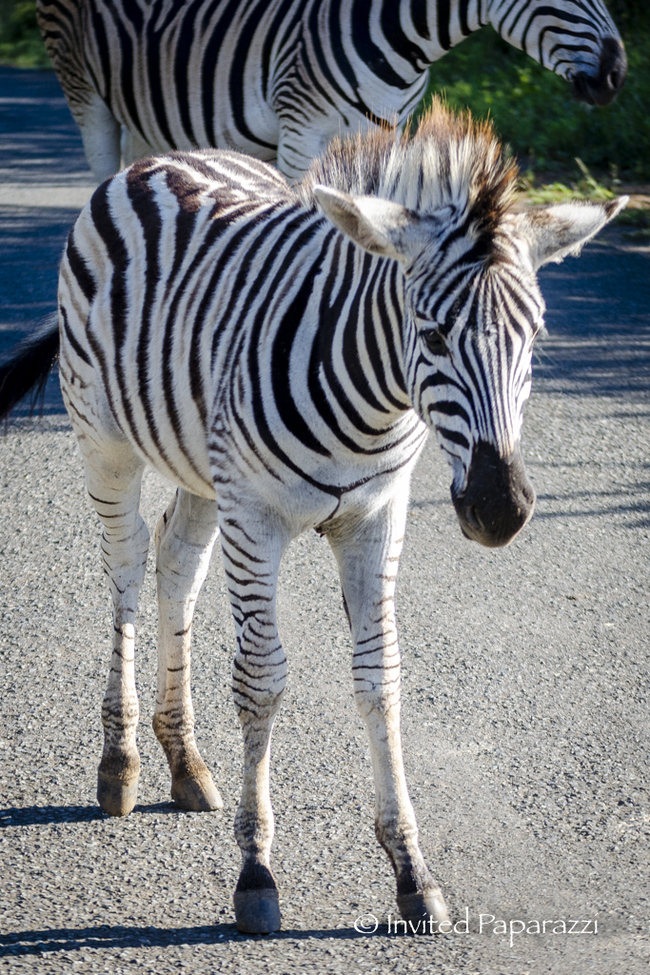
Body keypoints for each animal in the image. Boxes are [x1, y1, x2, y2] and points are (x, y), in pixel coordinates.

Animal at [0, 103, 624, 936]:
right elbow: (262, 680)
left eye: (538, 338)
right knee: (128, 568)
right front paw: (256, 874)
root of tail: (165, 158)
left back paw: (185, 761)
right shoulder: (258, 518)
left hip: (205, 467)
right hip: (106, 439)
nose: (500, 508)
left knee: (177, 562)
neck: (371, 403)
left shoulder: (376, 519)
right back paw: (120, 765)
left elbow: (381, 677)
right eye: (432, 334)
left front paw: (412, 872)